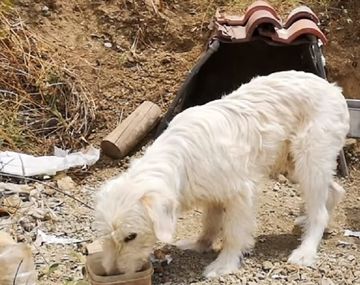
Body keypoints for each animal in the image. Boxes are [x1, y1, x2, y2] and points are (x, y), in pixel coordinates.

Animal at [94, 70, 350, 278]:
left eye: (131, 236)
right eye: (107, 235)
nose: (113, 273)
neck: (179, 159)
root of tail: (333, 88)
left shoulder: (240, 194)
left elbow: (233, 233)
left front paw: (223, 264)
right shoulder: (213, 194)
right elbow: (210, 222)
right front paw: (200, 244)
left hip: (310, 159)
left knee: (320, 211)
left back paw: (305, 250)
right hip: (293, 165)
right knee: (335, 191)